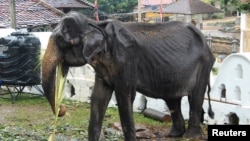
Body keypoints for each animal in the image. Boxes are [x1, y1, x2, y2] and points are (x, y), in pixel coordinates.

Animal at [41, 11, 215, 140]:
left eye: (63, 42)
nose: (62, 108)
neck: (95, 25)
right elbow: (98, 97)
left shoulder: (126, 59)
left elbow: (125, 97)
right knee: (172, 99)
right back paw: (174, 135)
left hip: (204, 65)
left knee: (195, 97)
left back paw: (190, 136)